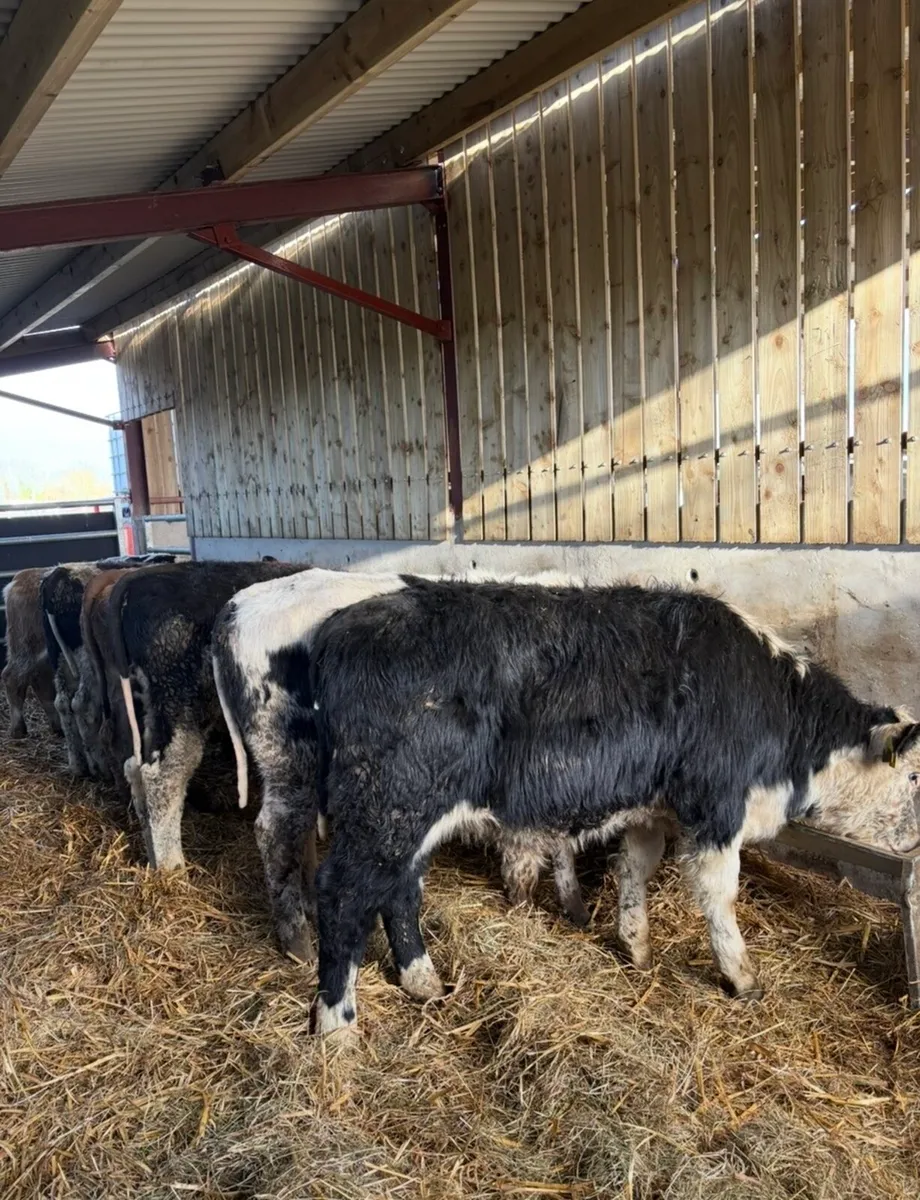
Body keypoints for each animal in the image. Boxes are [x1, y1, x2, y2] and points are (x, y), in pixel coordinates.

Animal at [108, 560, 307, 875]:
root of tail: (139, 581)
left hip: (158, 704)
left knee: (137, 767)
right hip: (184, 697)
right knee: (165, 774)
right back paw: (171, 867)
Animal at [305, 577, 920, 1035]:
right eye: (914, 776)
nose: (915, 841)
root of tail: (341, 626)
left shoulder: (651, 807)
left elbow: (635, 868)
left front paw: (635, 945)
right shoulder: (716, 808)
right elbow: (719, 896)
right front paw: (741, 977)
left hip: (407, 819)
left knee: (400, 890)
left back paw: (422, 981)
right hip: (388, 805)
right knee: (343, 895)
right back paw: (336, 1024)